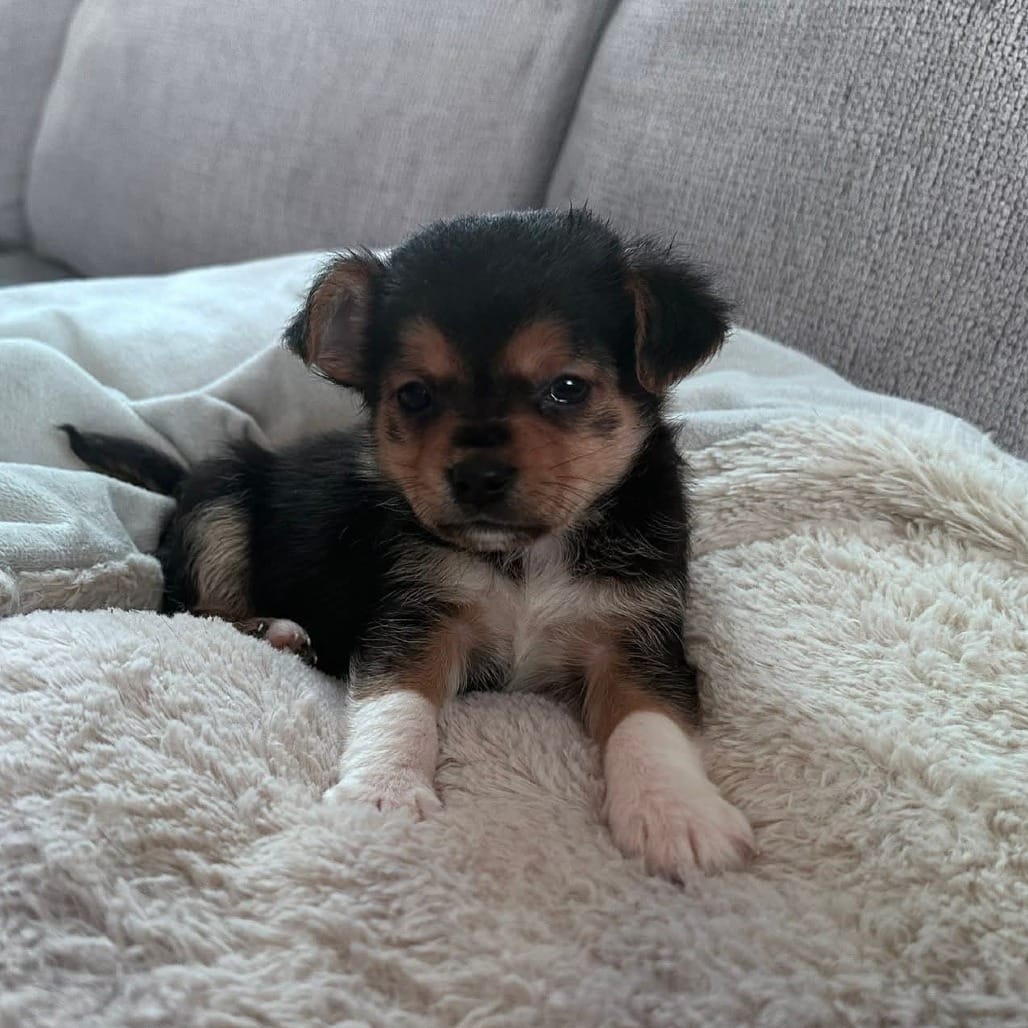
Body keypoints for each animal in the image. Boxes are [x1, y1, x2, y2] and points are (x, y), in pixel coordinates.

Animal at [62, 208, 755, 877]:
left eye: (568, 388)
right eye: (415, 394)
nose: (476, 476)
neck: (524, 554)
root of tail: (185, 477)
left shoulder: (636, 634)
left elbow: (650, 720)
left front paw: (676, 814)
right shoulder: (414, 617)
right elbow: (397, 705)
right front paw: (384, 793)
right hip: (221, 504)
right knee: (190, 607)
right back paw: (274, 629)